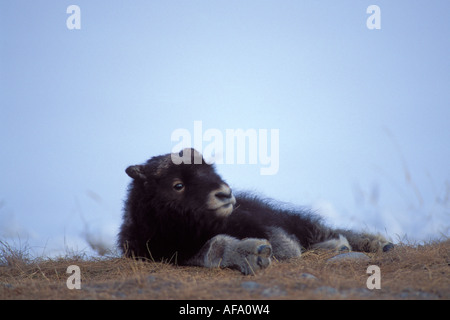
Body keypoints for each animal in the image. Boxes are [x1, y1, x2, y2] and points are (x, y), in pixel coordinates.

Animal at [117, 149, 394, 274]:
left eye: (210, 169)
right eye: (178, 185)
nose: (225, 193)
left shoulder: (259, 220)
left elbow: (281, 240)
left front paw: (279, 251)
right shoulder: (171, 254)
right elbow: (213, 248)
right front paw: (255, 253)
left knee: (324, 229)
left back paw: (374, 243)